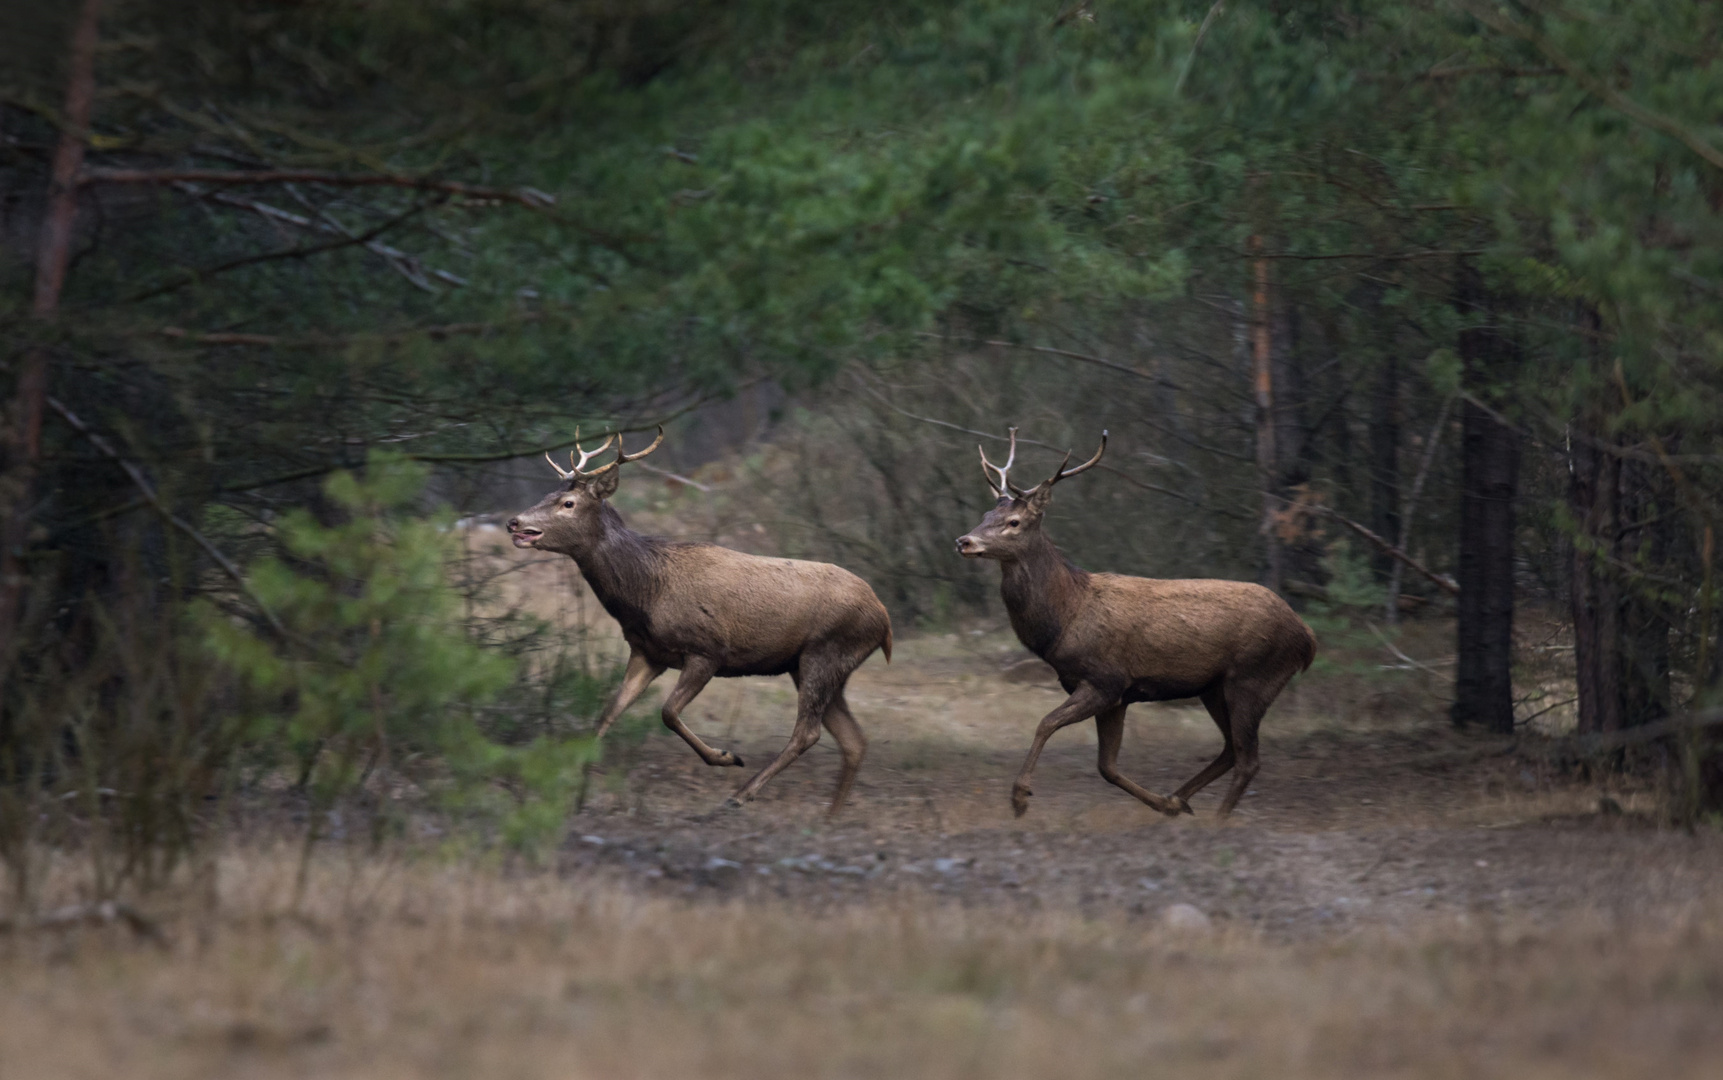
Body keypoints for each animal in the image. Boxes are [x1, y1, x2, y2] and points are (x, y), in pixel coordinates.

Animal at [506, 427, 889, 816]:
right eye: (547, 494)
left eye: (568, 503)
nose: (514, 522)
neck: (646, 591)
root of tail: (884, 619)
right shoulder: (647, 653)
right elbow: (607, 713)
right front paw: (570, 788)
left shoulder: (708, 649)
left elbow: (668, 712)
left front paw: (726, 756)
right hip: (813, 665)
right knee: (854, 739)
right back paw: (830, 817)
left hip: (826, 652)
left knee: (809, 732)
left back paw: (742, 793)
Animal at [957, 430, 1316, 819]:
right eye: (986, 514)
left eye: (1014, 523)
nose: (964, 541)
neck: (1063, 620)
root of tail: (1307, 637)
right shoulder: (1116, 696)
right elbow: (1107, 766)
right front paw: (1164, 804)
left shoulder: (1106, 680)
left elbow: (1046, 723)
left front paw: (1020, 797)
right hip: (1214, 687)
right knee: (1231, 749)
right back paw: (1178, 800)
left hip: (1254, 677)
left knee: (1249, 758)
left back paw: (1216, 822)